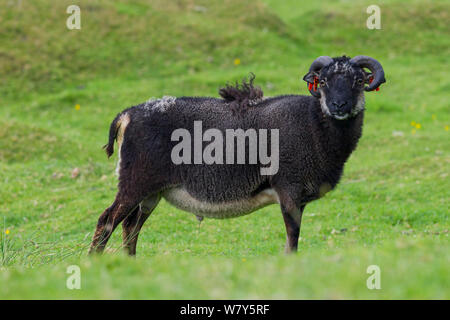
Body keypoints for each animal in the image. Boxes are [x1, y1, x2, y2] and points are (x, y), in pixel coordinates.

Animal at [89, 55, 384, 255]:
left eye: (359, 81)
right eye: (322, 81)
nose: (338, 105)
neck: (314, 124)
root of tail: (127, 115)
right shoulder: (289, 189)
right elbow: (292, 238)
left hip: (151, 193)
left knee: (130, 227)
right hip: (135, 182)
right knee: (108, 220)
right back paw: (94, 262)